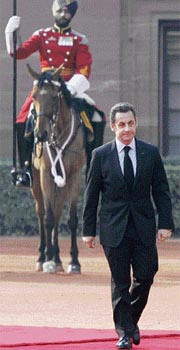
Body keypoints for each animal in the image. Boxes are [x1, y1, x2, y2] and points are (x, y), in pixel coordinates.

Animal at [26, 63, 86, 274]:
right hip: (36, 182)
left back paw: (58, 258)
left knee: (59, 212)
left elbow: (71, 219)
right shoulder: (45, 174)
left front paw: (74, 261)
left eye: (54, 96)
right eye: (34, 96)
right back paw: (43, 256)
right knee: (42, 213)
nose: (40, 134)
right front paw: (48, 260)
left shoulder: (74, 175)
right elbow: (49, 218)